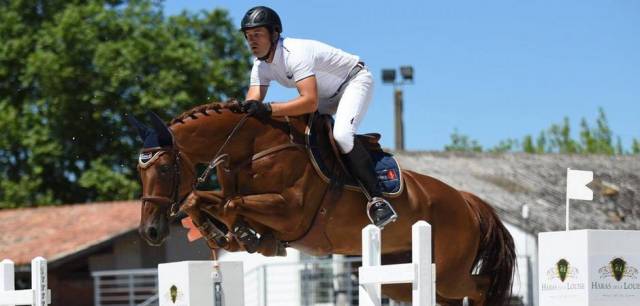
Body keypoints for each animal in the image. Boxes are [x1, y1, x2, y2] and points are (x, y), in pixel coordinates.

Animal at [130, 101, 516, 304]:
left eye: (163, 167)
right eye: (139, 169)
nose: (150, 231)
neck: (255, 147)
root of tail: (468, 202)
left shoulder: (291, 212)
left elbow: (230, 204)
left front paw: (246, 236)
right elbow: (204, 199)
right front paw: (226, 235)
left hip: (449, 272)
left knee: (482, 287)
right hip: (403, 277)